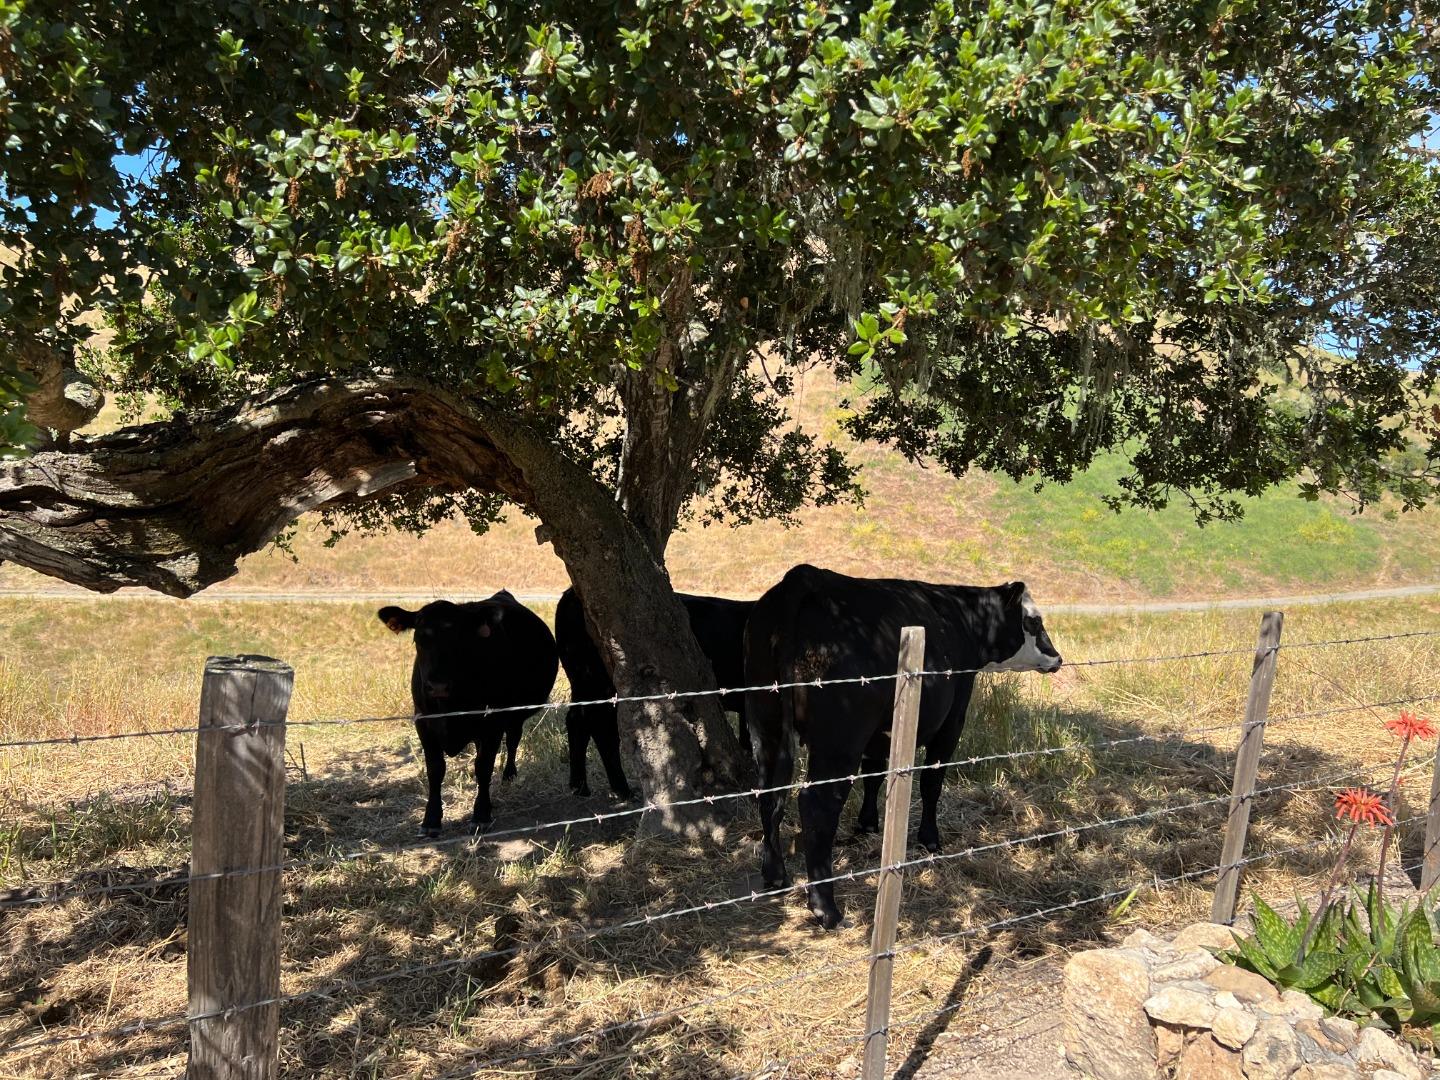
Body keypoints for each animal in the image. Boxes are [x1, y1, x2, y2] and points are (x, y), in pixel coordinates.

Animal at [380, 593, 558, 835]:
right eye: (418, 638)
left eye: (460, 640)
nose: (438, 686)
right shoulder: (423, 722)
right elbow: (435, 770)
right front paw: (431, 820)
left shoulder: (492, 722)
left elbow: (483, 767)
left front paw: (481, 814)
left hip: (516, 714)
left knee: (513, 740)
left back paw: (509, 775)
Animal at [552, 587, 754, 800]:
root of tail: (570, 594)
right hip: (597, 683)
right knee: (600, 728)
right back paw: (621, 790)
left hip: (585, 684)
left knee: (578, 721)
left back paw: (580, 786)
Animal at [748, 567, 1065, 933]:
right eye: (1033, 621)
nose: (1057, 657)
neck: (960, 617)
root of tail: (806, 577)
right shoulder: (952, 721)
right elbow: (931, 782)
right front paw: (930, 839)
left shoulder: (878, 734)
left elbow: (874, 775)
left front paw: (868, 823)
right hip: (839, 740)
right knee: (817, 804)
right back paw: (826, 908)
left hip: (765, 725)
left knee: (769, 793)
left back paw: (775, 875)